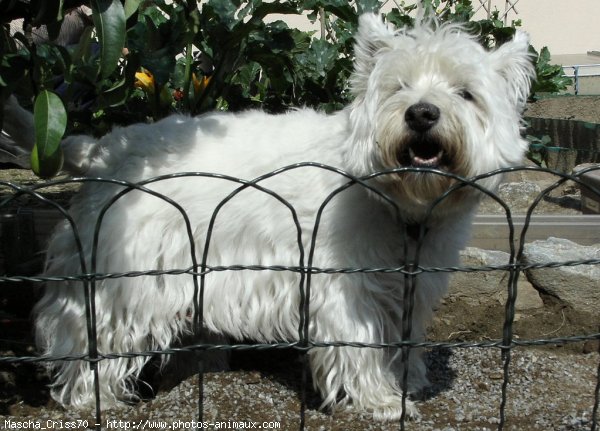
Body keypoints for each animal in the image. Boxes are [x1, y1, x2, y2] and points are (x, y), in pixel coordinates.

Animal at [3, 11, 536, 420]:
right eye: (397, 87)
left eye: (465, 93)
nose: (422, 113)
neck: (401, 201)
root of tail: (103, 149)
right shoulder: (344, 283)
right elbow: (360, 340)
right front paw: (383, 401)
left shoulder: (412, 278)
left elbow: (404, 334)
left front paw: (412, 378)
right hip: (124, 275)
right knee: (85, 332)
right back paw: (93, 397)